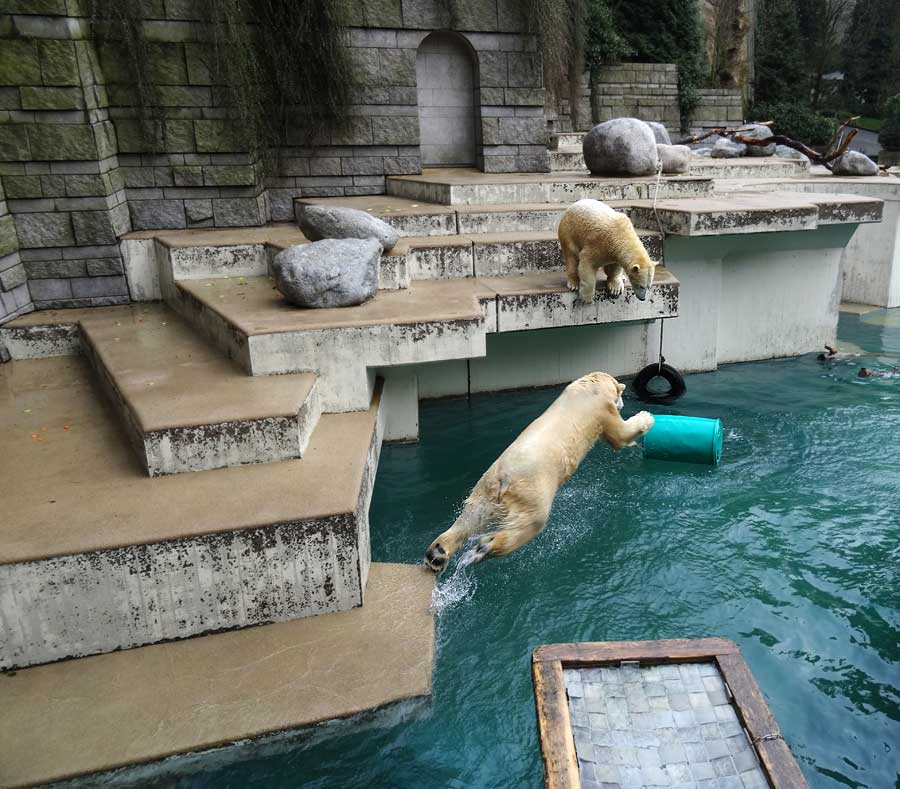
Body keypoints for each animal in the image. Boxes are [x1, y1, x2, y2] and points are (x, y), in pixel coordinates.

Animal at [424, 372, 652, 568]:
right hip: (531, 492)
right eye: (619, 396)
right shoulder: (602, 408)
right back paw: (485, 546)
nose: (622, 403)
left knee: (469, 520)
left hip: (483, 493)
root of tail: (502, 479)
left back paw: (437, 553)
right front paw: (646, 416)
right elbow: (620, 435)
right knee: (531, 523)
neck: (590, 386)